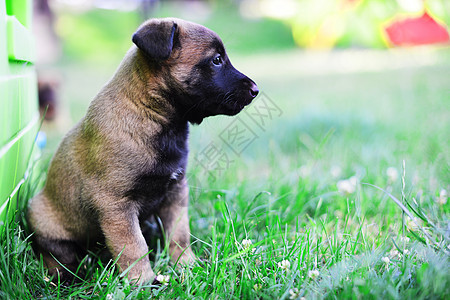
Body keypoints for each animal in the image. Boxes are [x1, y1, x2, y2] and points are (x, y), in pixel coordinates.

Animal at [28, 17, 258, 284]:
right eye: (217, 60)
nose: (255, 90)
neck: (151, 114)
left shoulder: (175, 193)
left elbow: (179, 234)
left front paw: (186, 265)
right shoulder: (116, 205)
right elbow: (134, 246)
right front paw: (144, 282)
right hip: (45, 221)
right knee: (54, 255)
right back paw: (67, 275)